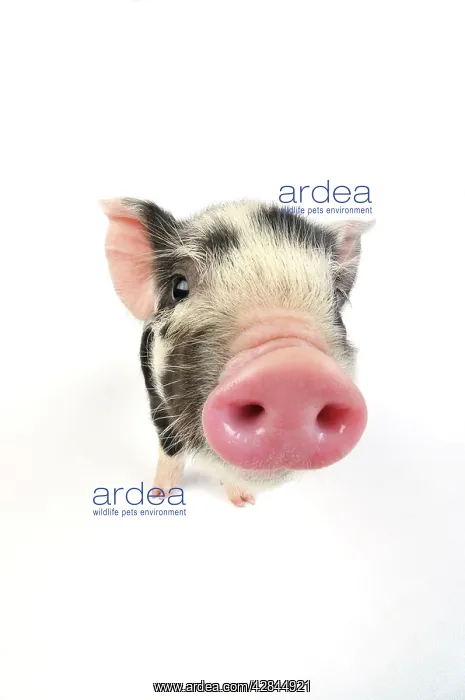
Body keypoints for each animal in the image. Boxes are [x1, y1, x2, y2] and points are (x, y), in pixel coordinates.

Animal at [102, 197, 373, 506]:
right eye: (179, 287)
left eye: (336, 297)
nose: (291, 366)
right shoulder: (155, 391)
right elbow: (170, 445)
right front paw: (157, 497)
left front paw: (245, 503)